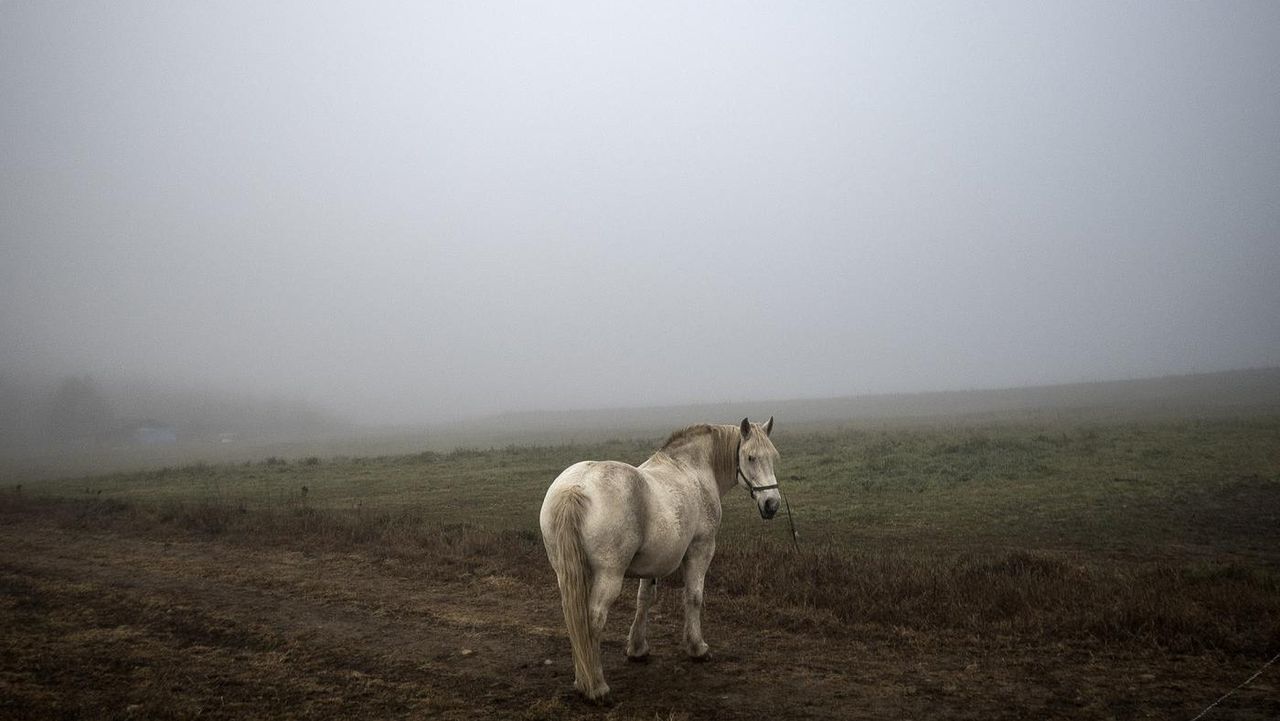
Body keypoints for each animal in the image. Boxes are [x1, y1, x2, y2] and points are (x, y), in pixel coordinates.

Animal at [537, 417, 778, 701]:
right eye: (751, 457)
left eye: (773, 457)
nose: (772, 504)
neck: (693, 469)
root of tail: (576, 487)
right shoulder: (701, 549)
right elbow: (694, 597)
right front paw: (697, 648)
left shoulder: (652, 562)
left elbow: (644, 599)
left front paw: (637, 648)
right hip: (608, 576)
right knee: (593, 620)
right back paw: (596, 687)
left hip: (567, 573)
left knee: (575, 619)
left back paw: (581, 679)